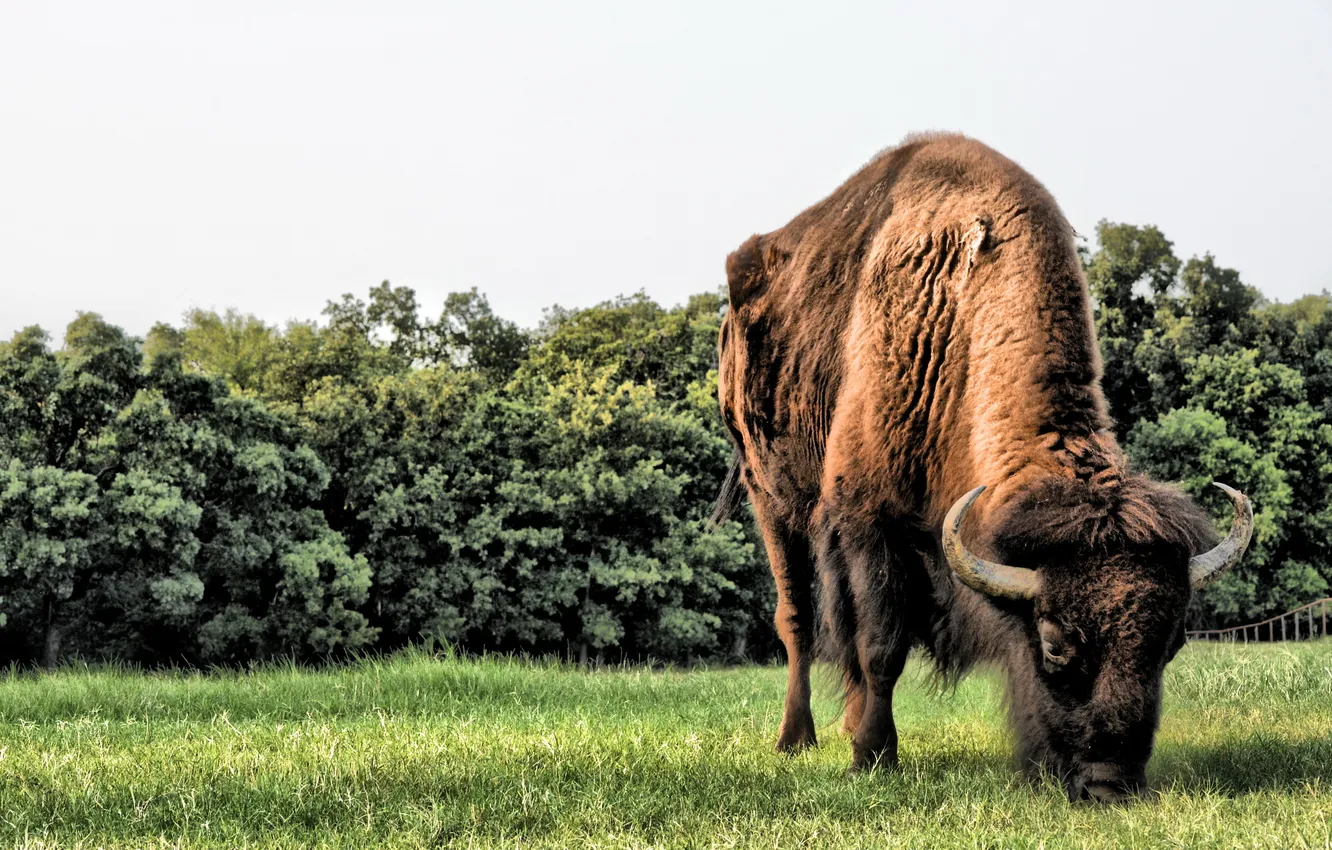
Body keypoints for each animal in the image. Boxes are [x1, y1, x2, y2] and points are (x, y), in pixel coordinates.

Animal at [719, 134, 1246, 804]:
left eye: (1171, 643)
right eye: (1053, 646)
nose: (1110, 785)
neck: (956, 321)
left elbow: (870, 641)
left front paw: (865, 742)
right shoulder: (868, 518)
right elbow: (881, 643)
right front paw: (873, 758)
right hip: (771, 498)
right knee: (799, 622)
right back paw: (797, 739)